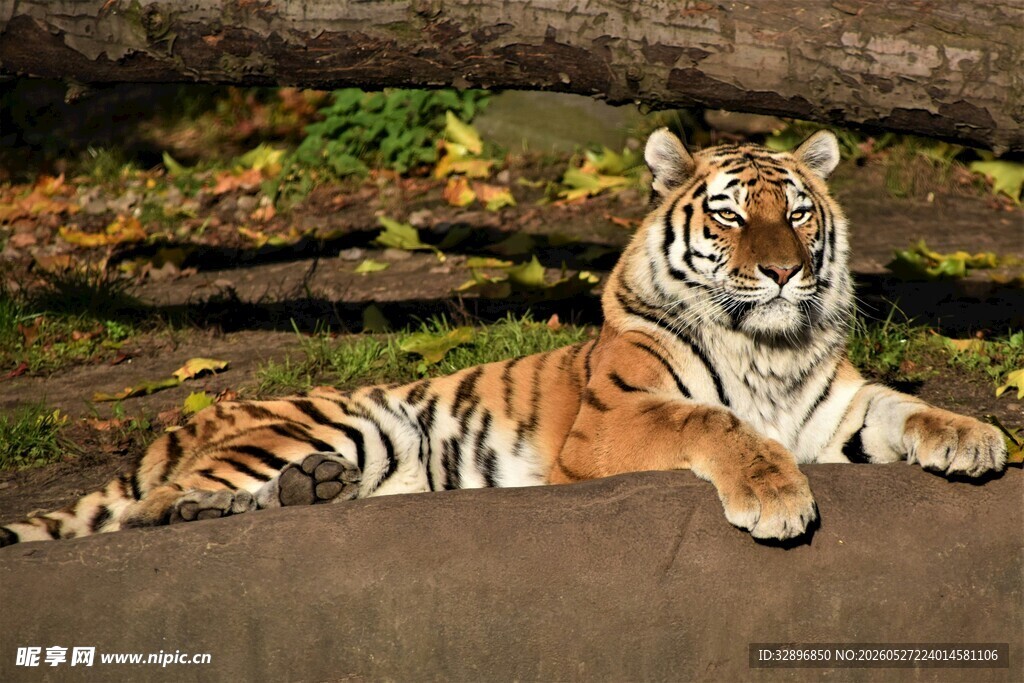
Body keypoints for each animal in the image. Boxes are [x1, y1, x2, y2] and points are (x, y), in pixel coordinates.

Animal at [0, 128, 1007, 547]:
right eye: (729, 217)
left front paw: (976, 438)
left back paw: (311, 494)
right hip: (340, 420)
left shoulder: (835, 407)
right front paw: (774, 495)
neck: (770, 343)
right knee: (148, 509)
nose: (786, 272)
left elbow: (908, 405)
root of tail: (179, 422)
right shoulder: (613, 419)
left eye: (797, 214)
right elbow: (713, 424)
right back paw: (223, 506)